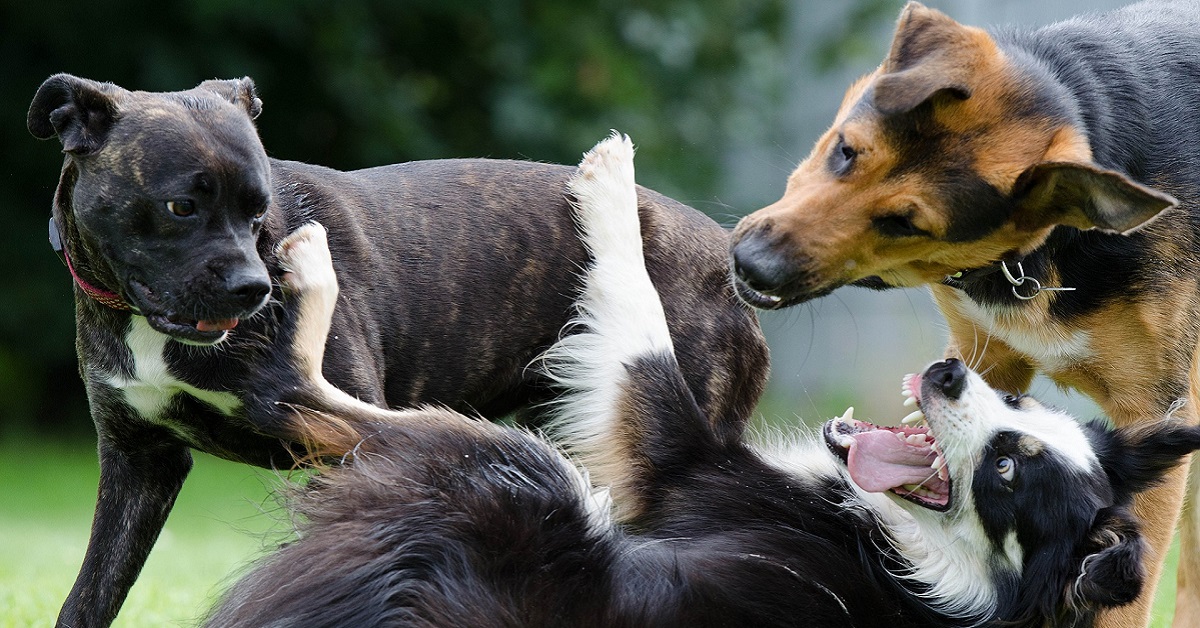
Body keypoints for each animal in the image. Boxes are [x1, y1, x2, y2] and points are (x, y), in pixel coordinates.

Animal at [28, 75, 768, 628]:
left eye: (258, 209)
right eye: (181, 206)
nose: (254, 288)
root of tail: (725, 260)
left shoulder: (341, 454)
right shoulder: (137, 462)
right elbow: (91, 595)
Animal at [208, 137, 1200, 628]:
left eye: (1006, 472)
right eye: (1021, 402)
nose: (953, 371)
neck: (924, 561)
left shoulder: (676, 463)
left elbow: (639, 323)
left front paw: (612, 183)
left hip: (524, 471)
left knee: (301, 395)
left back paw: (308, 272)